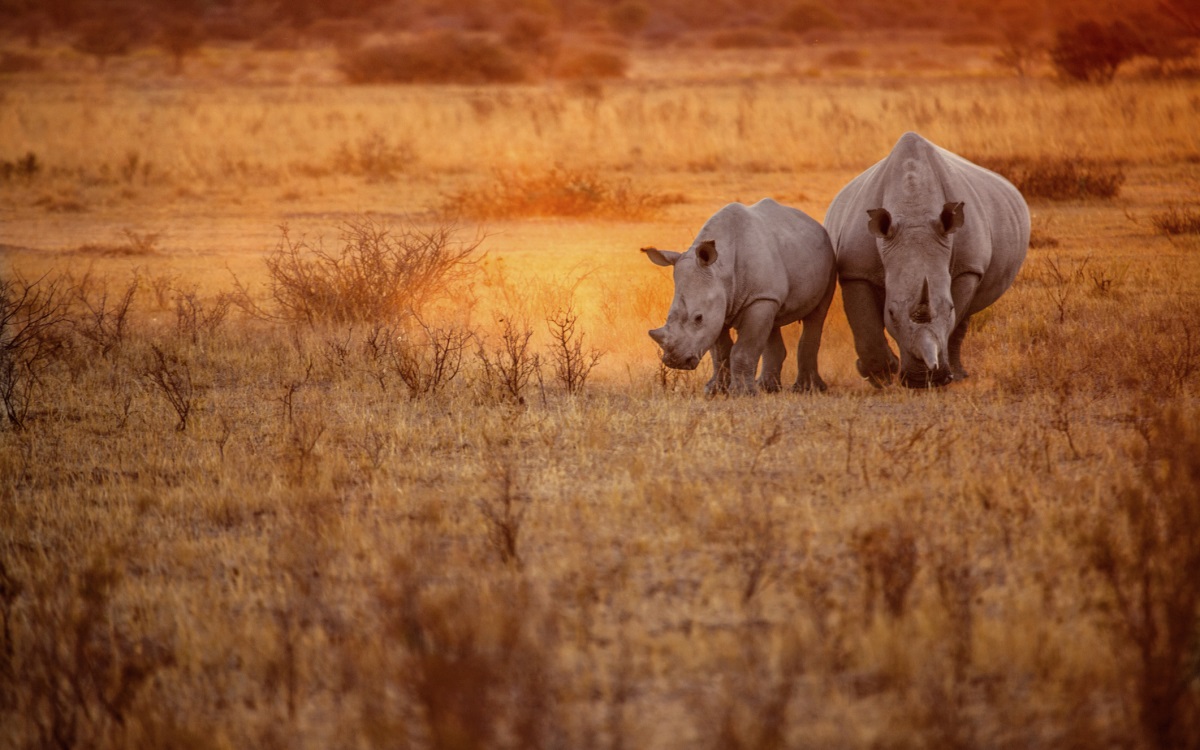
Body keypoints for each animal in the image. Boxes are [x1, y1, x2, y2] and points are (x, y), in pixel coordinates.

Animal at [643, 199, 840, 398]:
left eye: (698, 318)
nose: (675, 362)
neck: (720, 270)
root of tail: (815, 224)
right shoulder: (723, 305)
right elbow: (720, 352)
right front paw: (715, 390)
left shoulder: (758, 298)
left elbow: (744, 349)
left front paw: (742, 394)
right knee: (773, 321)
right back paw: (768, 388)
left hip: (829, 259)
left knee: (816, 315)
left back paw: (807, 389)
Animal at [825, 131, 1032, 386]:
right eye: (890, 313)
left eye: (949, 308)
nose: (923, 380)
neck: (913, 212)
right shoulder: (856, 270)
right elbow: (864, 323)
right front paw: (880, 376)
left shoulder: (968, 267)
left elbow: (955, 317)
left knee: (967, 314)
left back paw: (959, 376)